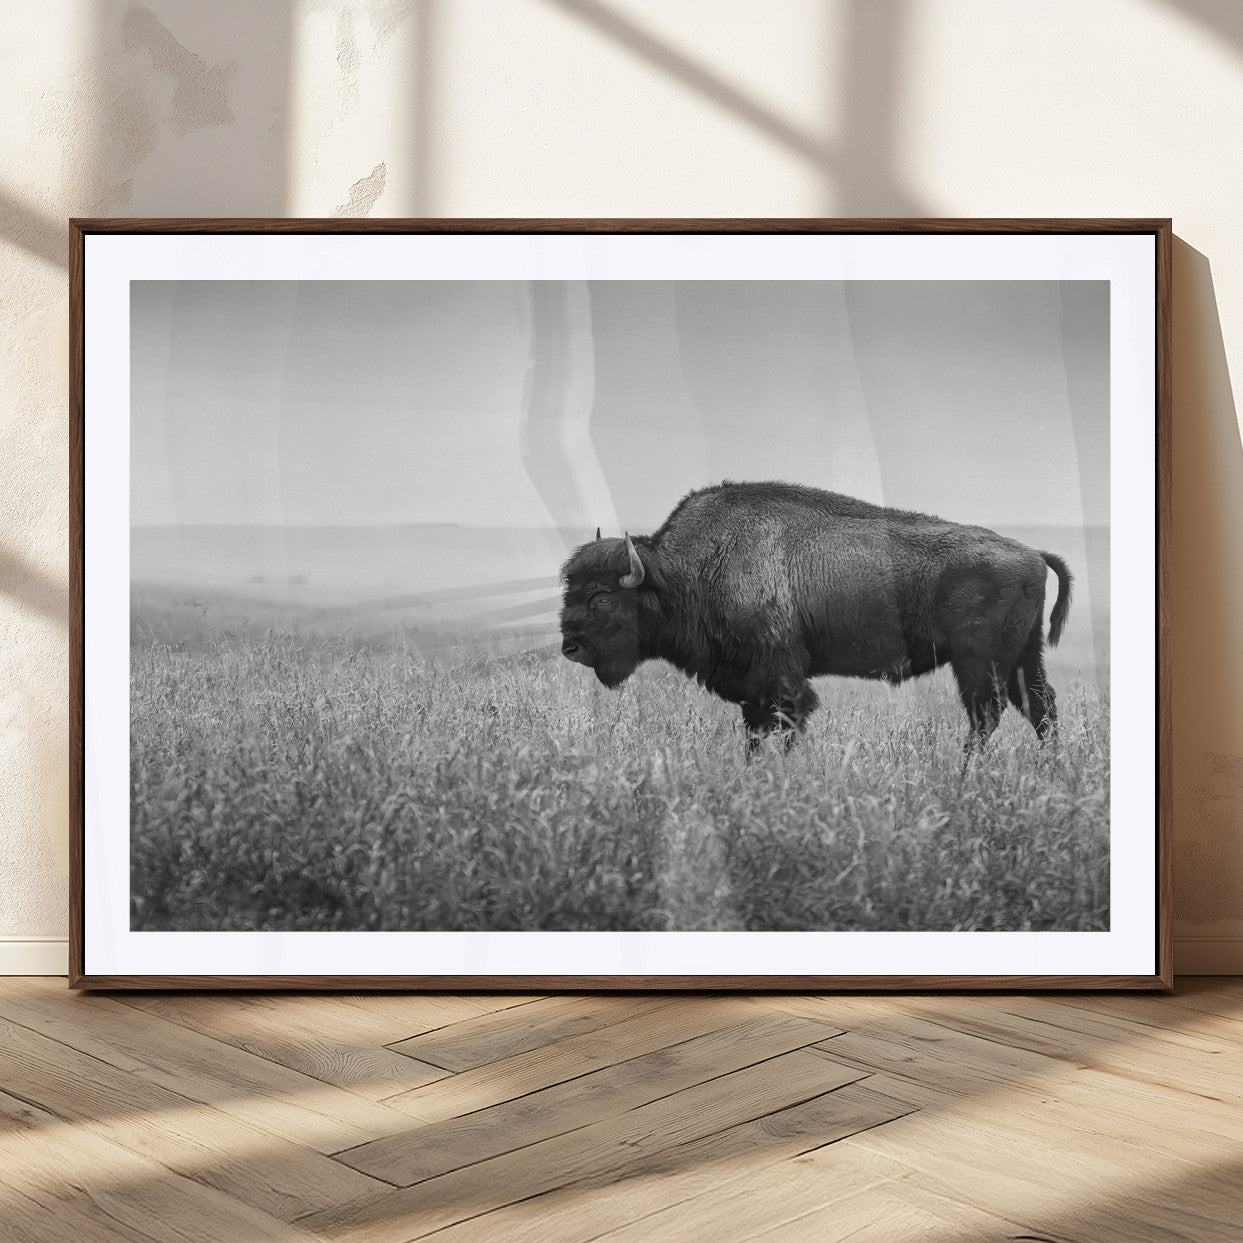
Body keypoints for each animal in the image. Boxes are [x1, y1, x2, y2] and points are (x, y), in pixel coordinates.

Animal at [559, 481, 1072, 751]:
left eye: (602, 596)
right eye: (571, 588)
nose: (570, 647)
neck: (689, 570)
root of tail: (1032, 552)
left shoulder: (781, 681)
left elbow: (787, 725)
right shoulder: (752, 690)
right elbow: (755, 734)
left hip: (979, 663)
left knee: (987, 715)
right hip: (1023, 657)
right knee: (1040, 709)